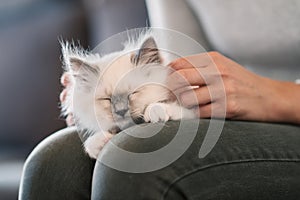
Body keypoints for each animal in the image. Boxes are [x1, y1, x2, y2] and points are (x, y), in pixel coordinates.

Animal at [61, 32, 197, 159]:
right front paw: (98, 142)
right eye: (107, 99)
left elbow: (170, 107)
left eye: (133, 93)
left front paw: (156, 111)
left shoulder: (193, 111)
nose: (121, 111)